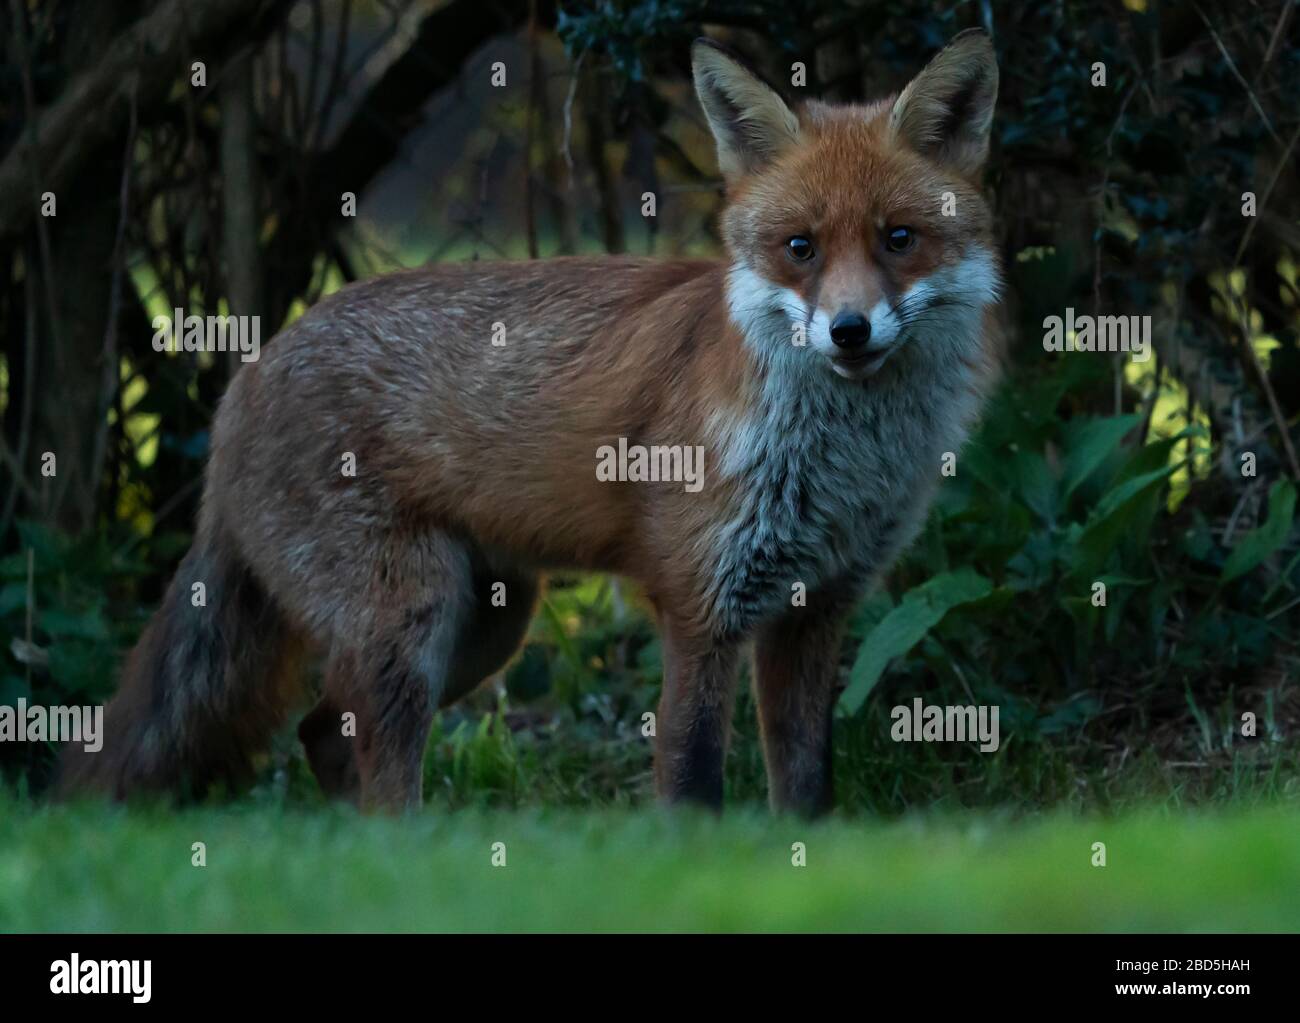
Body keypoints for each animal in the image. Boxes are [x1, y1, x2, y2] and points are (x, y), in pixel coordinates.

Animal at [61, 30, 1003, 816]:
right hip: (409, 621)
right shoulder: (700, 599)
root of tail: (248, 371)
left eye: (899, 238)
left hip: (485, 627)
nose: (849, 330)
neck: (841, 459)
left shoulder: (817, 608)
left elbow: (807, 783)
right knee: (372, 763)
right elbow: (693, 774)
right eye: (800, 248)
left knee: (323, 733)